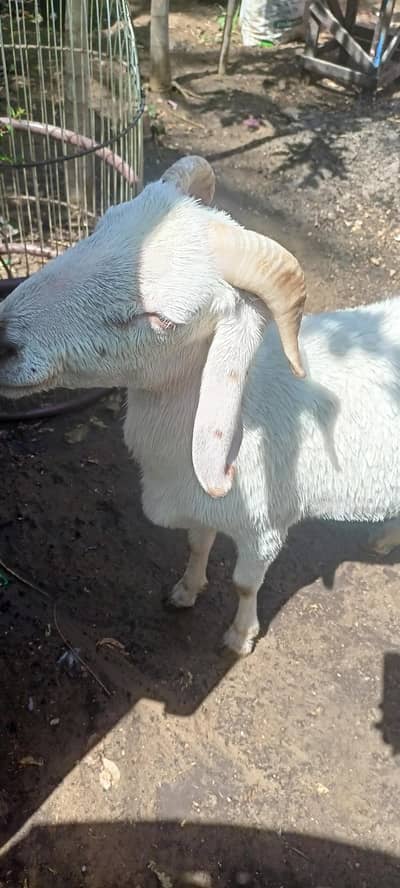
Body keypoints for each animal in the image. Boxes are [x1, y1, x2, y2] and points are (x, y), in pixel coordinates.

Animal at [0, 155, 399, 657]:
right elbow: (197, 544)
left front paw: (240, 637)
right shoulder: (201, 507)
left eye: (161, 319)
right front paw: (186, 591)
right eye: (99, 226)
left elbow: (246, 584)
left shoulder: (265, 531)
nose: (0, 339)